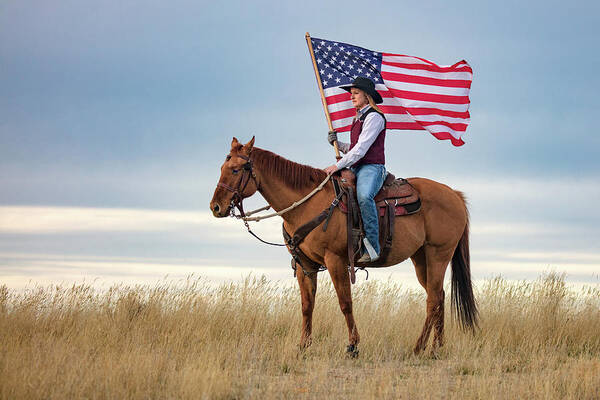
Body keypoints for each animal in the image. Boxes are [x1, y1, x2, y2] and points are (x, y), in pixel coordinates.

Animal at [211, 137, 478, 354]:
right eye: (222, 168)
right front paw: (303, 345)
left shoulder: (336, 260)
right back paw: (436, 348)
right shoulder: (305, 264)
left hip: (438, 254)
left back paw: (419, 347)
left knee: (433, 300)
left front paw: (353, 345)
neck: (308, 204)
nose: (215, 207)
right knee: (439, 296)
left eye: (236, 169)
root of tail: (454, 194)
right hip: (421, 258)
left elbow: (345, 302)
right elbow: (307, 305)